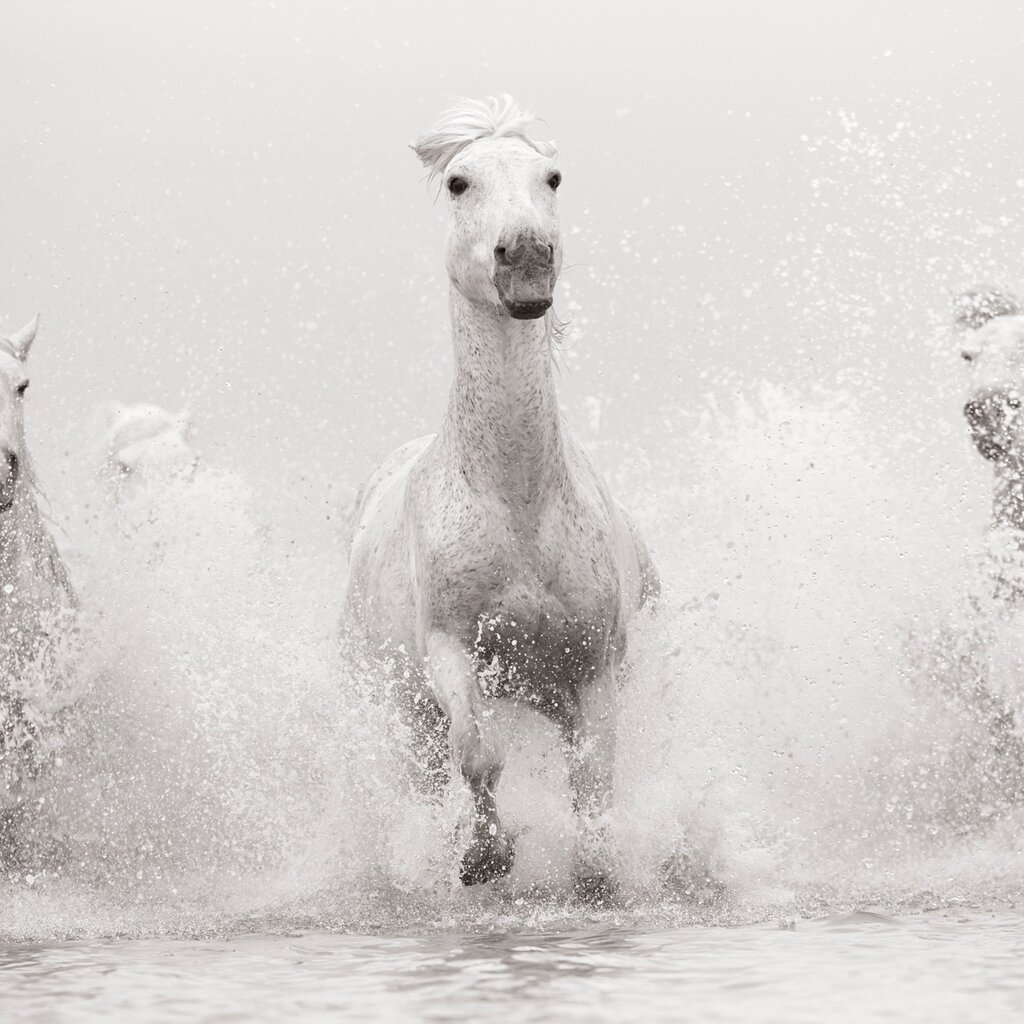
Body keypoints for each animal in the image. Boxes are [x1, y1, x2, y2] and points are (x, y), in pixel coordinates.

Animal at [343, 96, 659, 896]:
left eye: (552, 177)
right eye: (460, 181)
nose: (525, 257)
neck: (517, 504)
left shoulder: (593, 669)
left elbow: (593, 784)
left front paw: (594, 877)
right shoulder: (450, 649)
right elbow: (478, 752)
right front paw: (484, 856)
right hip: (401, 711)